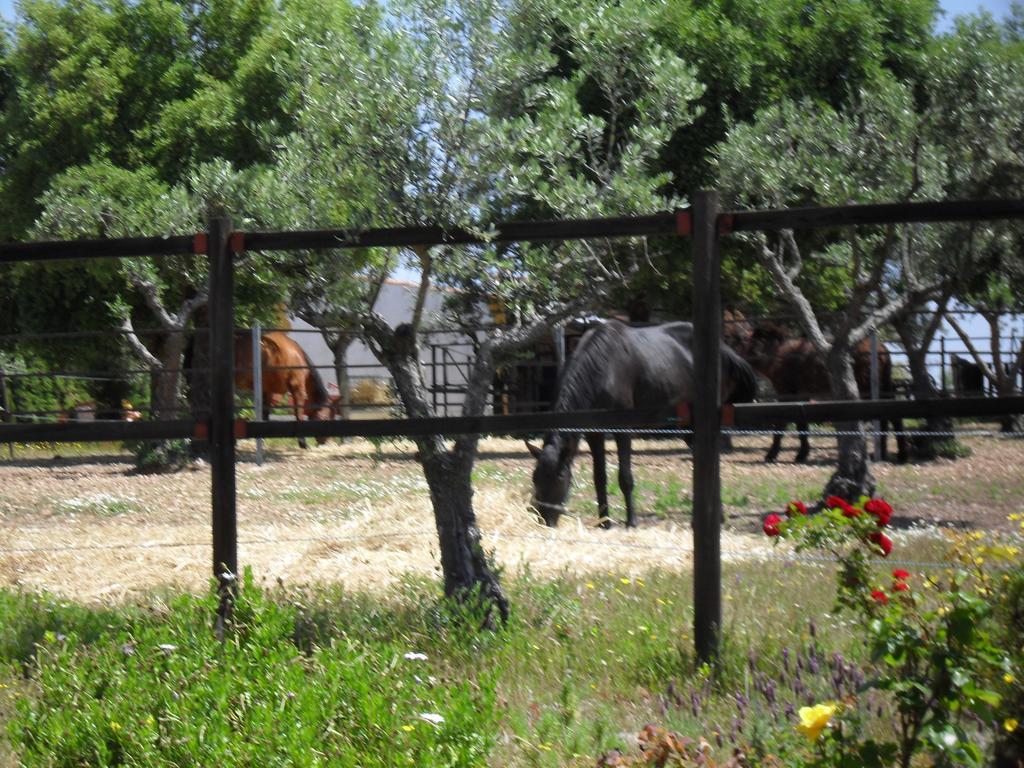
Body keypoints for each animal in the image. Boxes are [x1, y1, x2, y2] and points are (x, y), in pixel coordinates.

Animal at [528, 319, 753, 528]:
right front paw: (604, 522)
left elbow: (625, 478)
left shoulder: (623, 430)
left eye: (559, 477)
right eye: (535, 478)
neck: (603, 368)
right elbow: (599, 477)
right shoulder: (594, 433)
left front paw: (631, 522)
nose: (544, 519)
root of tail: (724, 351)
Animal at [724, 311, 909, 462]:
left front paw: (773, 454)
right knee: (891, 416)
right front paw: (802, 453)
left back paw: (892, 454)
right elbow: (802, 425)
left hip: (867, 387)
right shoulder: (801, 394)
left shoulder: (786, 392)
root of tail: (884, 349)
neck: (772, 353)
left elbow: (782, 423)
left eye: (733, 337)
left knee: (888, 416)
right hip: (882, 385)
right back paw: (892, 453)